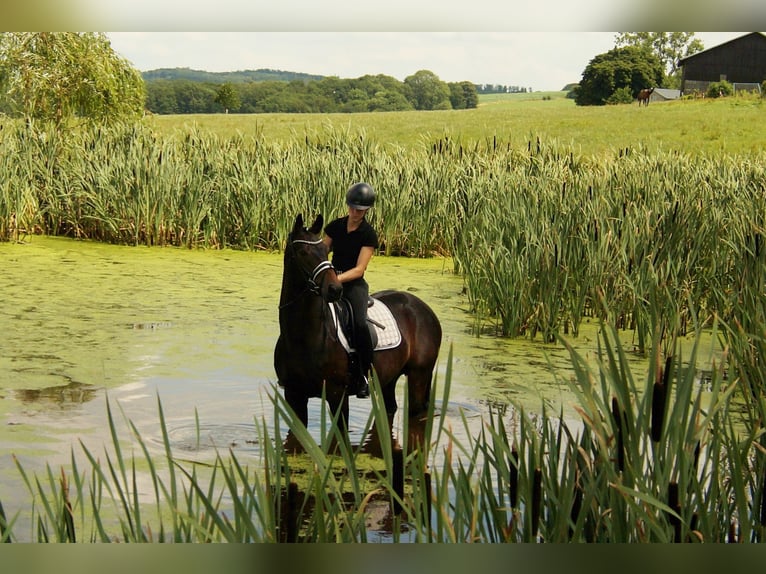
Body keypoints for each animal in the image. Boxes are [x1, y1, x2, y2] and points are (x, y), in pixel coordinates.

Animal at [276, 214, 444, 434]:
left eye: (324, 251)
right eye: (303, 252)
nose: (334, 289)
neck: (305, 337)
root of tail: (425, 309)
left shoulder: (337, 395)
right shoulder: (293, 395)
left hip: (418, 376)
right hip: (388, 379)